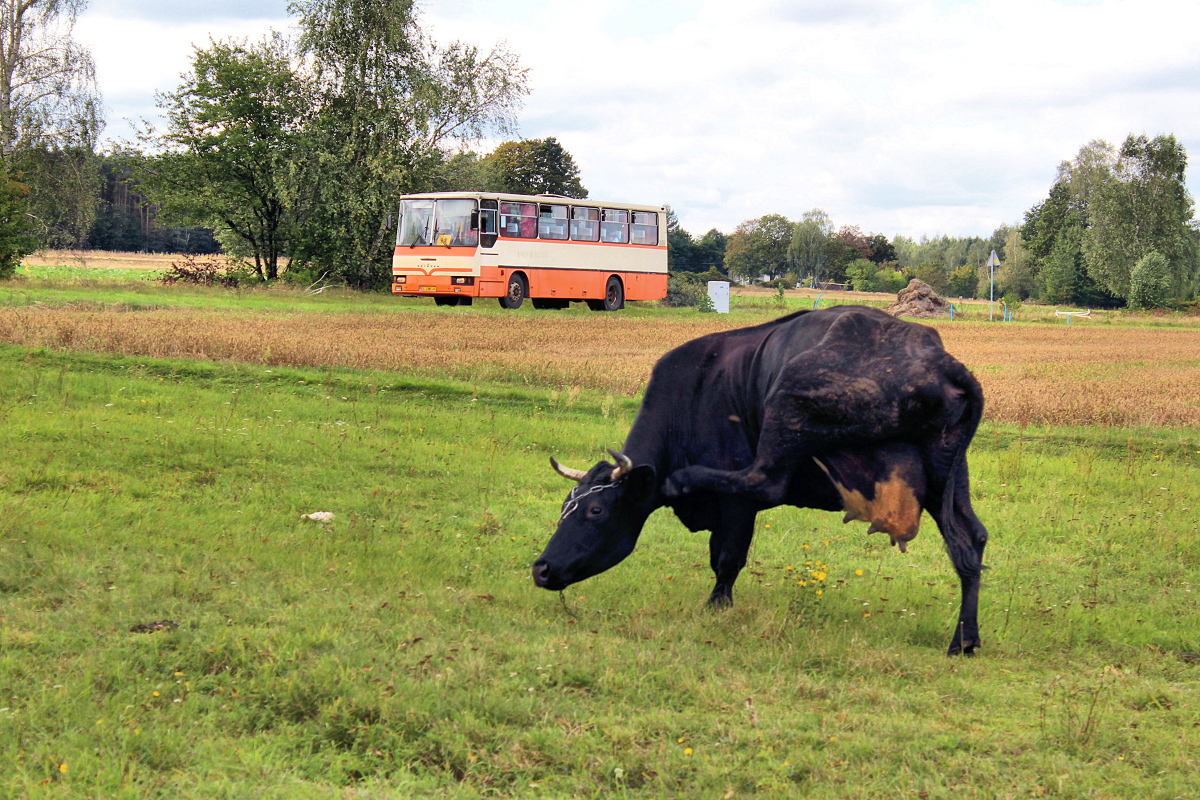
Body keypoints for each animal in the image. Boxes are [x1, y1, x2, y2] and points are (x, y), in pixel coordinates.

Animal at [540, 307, 988, 657]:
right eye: (565, 506)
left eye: (596, 510)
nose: (541, 569)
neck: (691, 397)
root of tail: (936, 356)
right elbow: (718, 555)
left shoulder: (736, 505)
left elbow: (728, 556)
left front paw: (717, 607)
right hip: (946, 474)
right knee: (971, 540)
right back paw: (965, 640)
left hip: (788, 401)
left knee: (765, 479)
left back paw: (683, 479)